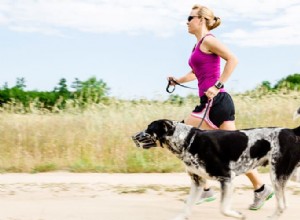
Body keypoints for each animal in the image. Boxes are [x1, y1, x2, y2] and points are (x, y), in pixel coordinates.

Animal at [132, 116, 300, 219]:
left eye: (149, 128)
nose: (133, 136)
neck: (188, 141)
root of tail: (291, 131)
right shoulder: (198, 182)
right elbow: (187, 205)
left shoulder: (227, 178)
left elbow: (223, 209)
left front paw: (239, 215)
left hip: (277, 175)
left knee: (282, 205)